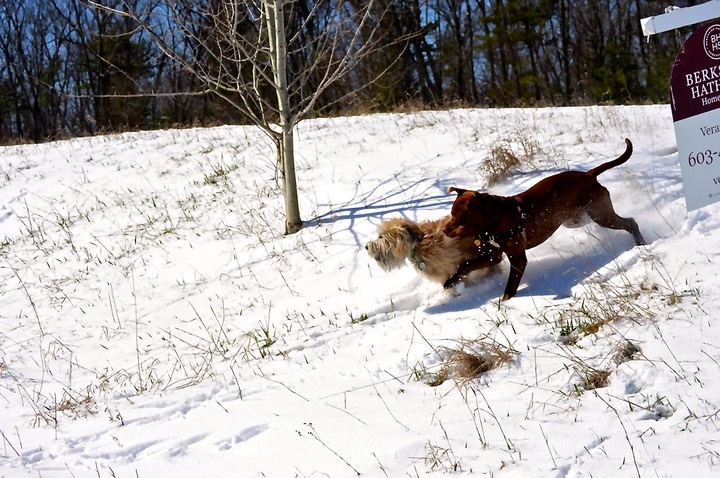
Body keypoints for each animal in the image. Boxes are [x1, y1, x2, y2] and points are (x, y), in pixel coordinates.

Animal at [444, 138, 648, 300]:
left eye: (458, 217)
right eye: (451, 214)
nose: (444, 230)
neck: (493, 218)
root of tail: (588, 174)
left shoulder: (518, 258)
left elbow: (511, 285)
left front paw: (505, 302)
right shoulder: (493, 255)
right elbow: (465, 265)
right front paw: (451, 281)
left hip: (599, 213)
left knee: (630, 222)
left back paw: (641, 244)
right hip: (579, 218)